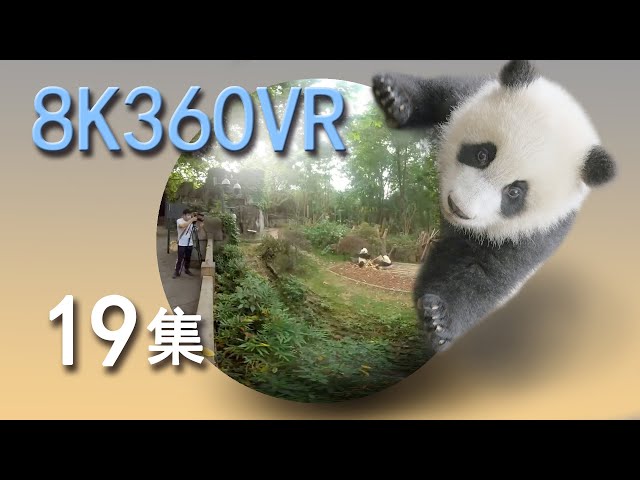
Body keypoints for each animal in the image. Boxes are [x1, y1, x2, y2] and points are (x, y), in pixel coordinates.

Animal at [372, 60, 616, 354]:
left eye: (514, 192)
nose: (458, 207)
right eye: (482, 154)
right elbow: (436, 94)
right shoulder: (464, 95)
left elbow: (481, 271)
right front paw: (394, 98)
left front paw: (440, 320)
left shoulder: (535, 232)